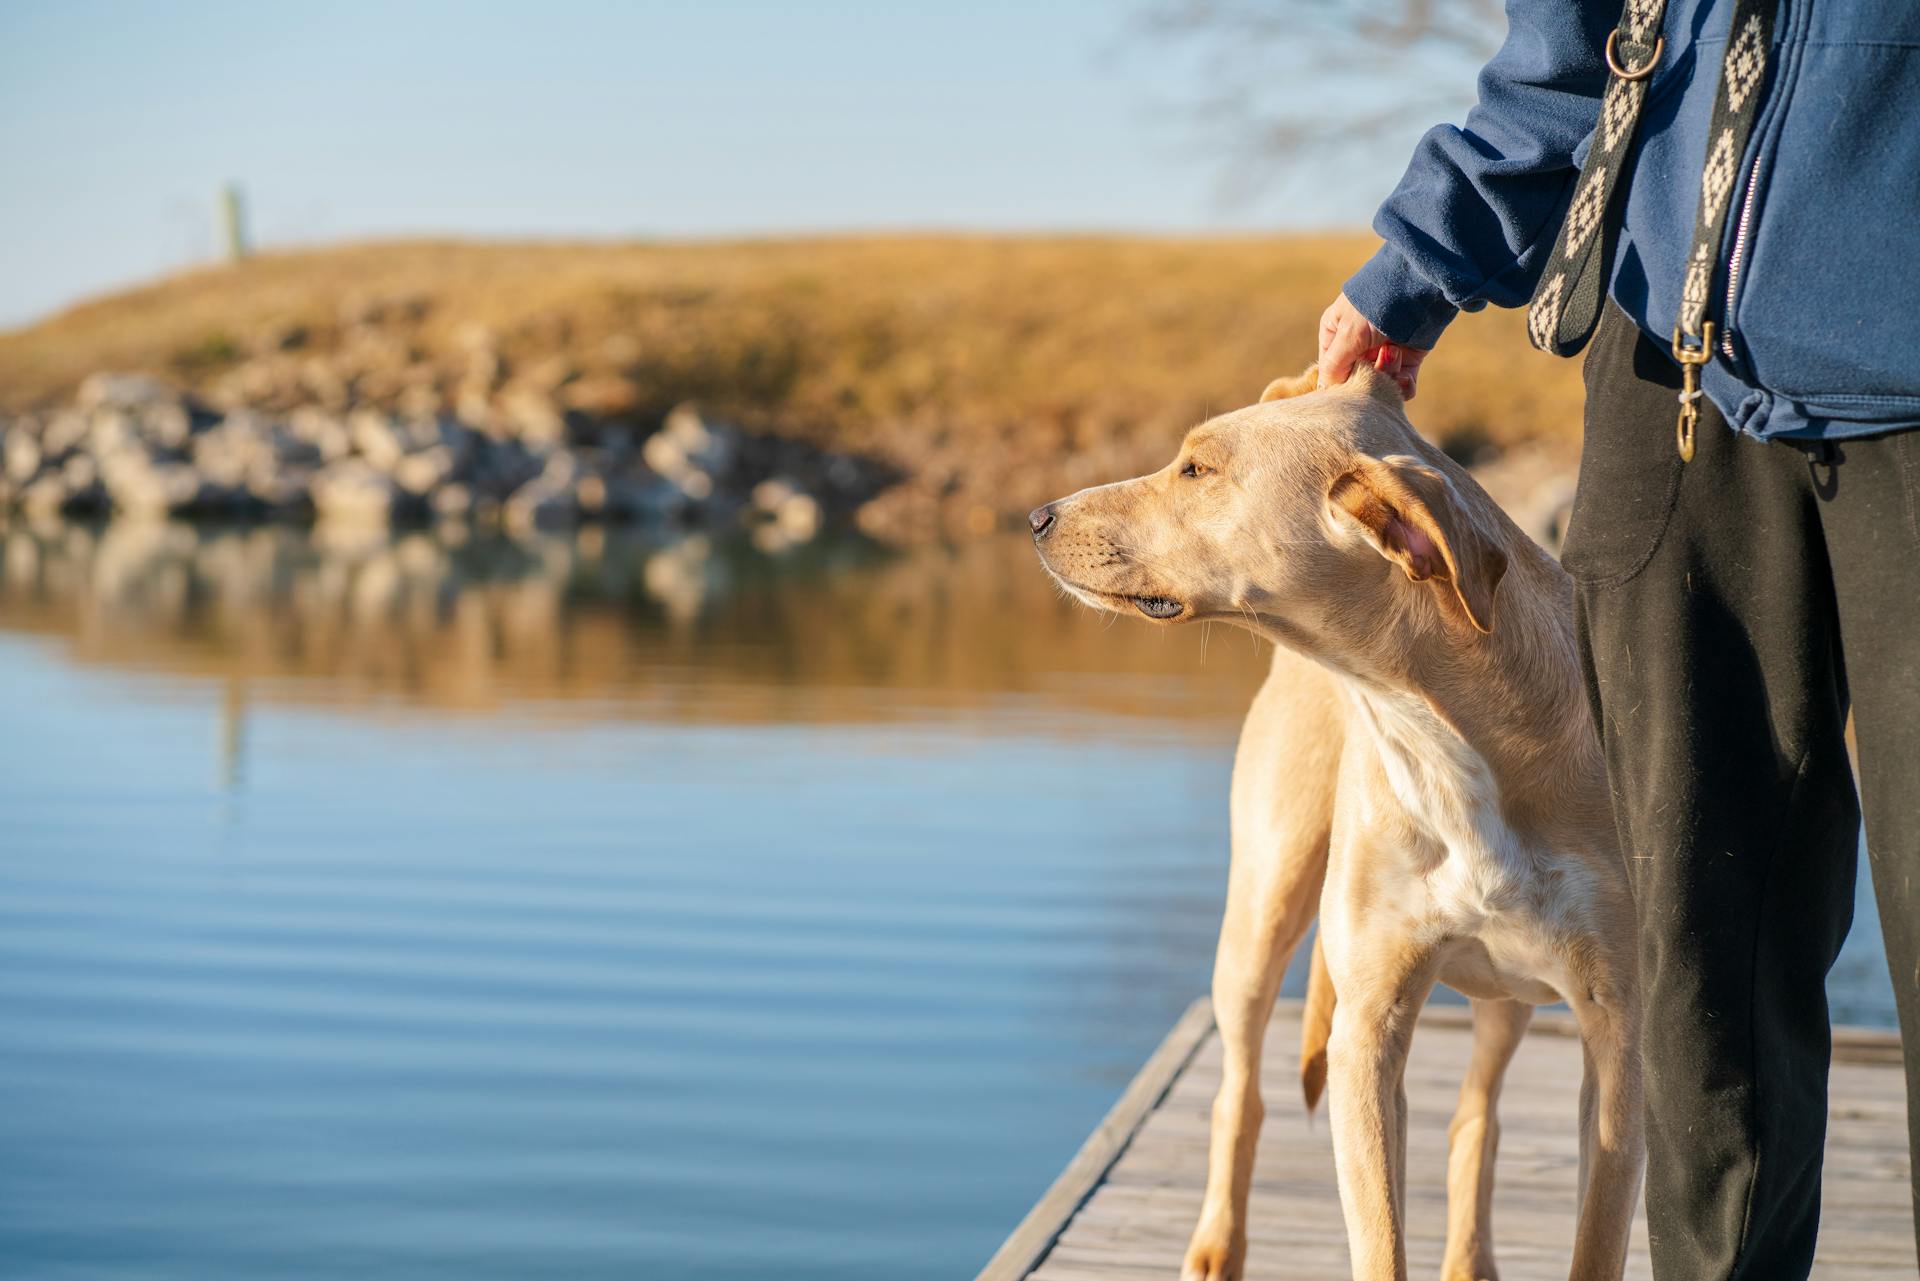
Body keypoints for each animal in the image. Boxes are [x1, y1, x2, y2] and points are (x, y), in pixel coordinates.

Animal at [1029, 362, 1643, 1281]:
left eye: (1197, 469)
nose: (1037, 517)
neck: (1443, 727)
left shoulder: (1620, 1037)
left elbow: (1594, 1241)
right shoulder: (1369, 1025)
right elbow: (1378, 1239)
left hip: (1508, 994)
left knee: (1475, 1115)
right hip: (1260, 916)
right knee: (1238, 1093)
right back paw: (1216, 1244)